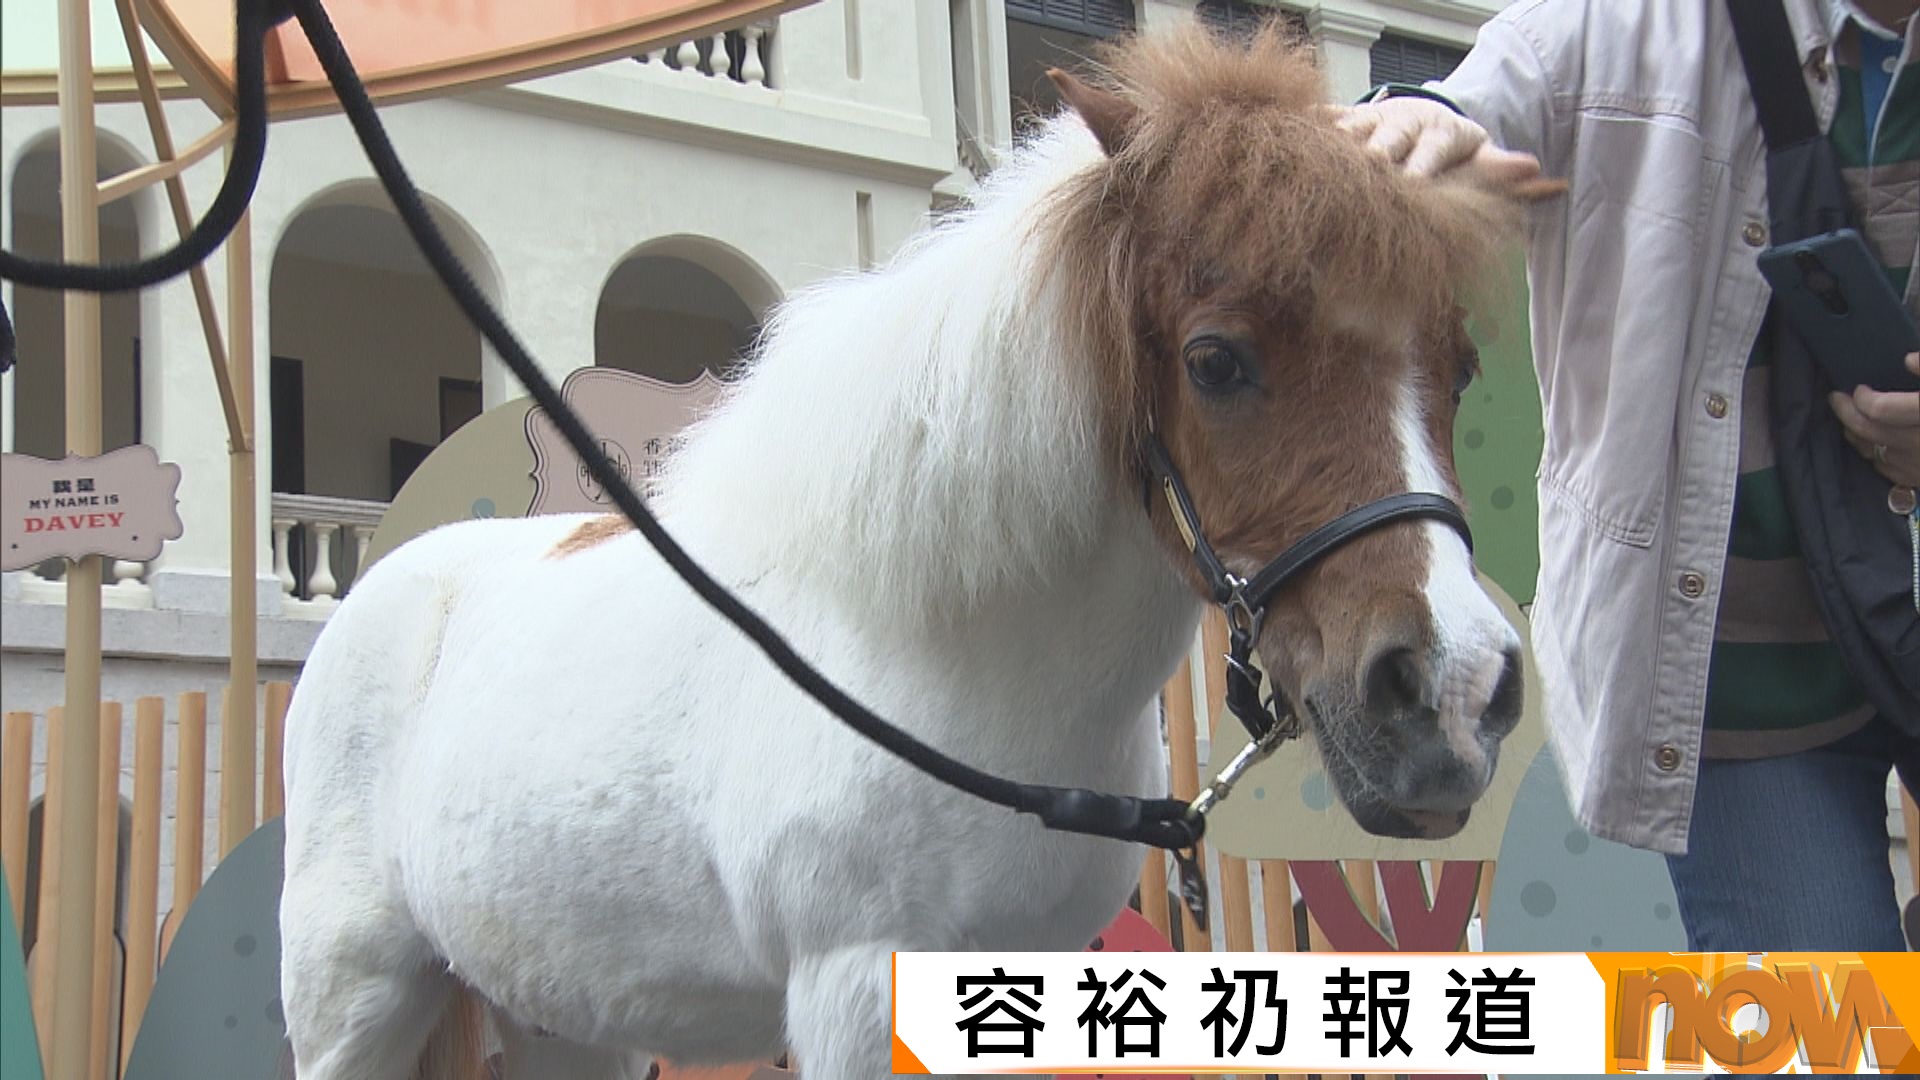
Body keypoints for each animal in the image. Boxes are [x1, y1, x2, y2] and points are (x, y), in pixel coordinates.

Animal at [278, 23, 1553, 1080]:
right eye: (1215, 359)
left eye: (1457, 369)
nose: (1450, 695)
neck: (947, 657)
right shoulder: (852, 988)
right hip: (351, 999)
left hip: (566, 1015)